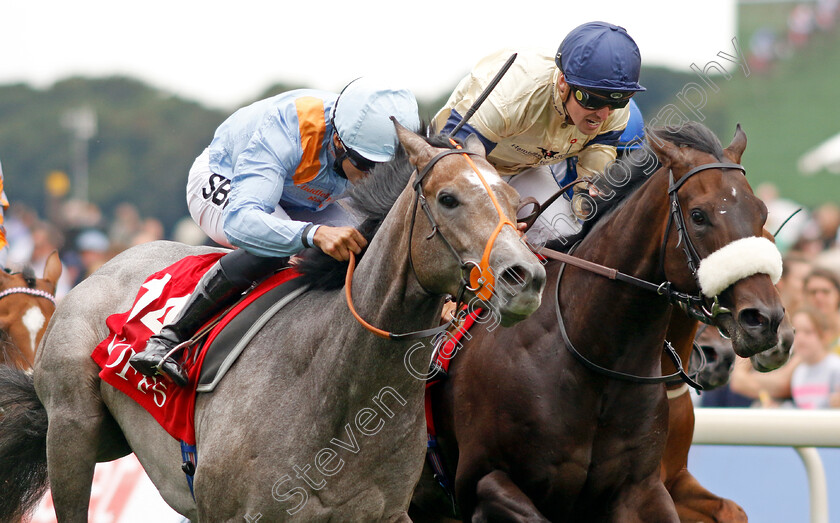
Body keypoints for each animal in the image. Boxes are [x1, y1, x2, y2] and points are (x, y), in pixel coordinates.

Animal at [0, 124, 548, 523]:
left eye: (513, 200)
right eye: (448, 198)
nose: (527, 277)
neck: (339, 387)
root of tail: (101, 270)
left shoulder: (386, 514)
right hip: (72, 432)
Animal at [410, 125, 792, 520]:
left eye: (762, 214)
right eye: (699, 215)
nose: (765, 320)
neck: (595, 360)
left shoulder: (643, 487)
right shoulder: (482, 482)